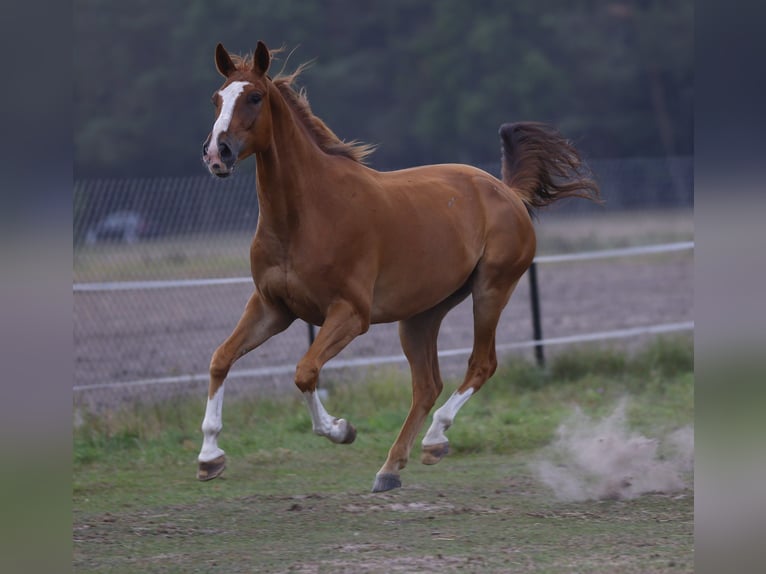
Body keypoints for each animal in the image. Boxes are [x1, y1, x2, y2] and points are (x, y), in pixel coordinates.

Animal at [196, 42, 600, 492]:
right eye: (216, 98)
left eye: (254, 97)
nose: (216, 154)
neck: (305, 215)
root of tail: (508, 192)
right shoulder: (272, 308)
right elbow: (220, 358)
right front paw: (210, 457)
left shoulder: (351, 314)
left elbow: (305, 371)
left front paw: (342, 429)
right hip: (422, 315)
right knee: (426, 385)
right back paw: (392, 467)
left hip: (491, 290)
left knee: (481, 364)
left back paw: (434, 439)